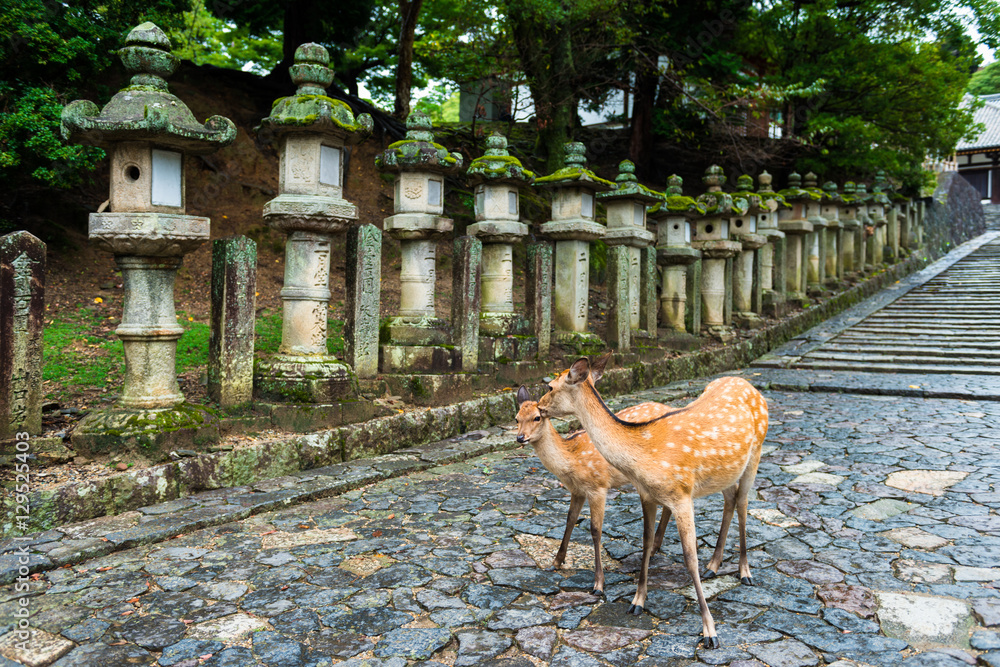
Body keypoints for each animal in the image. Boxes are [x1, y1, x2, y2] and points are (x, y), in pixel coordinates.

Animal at [515, 385, 672, 596]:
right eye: (516, 418)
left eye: (537, 417)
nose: (520, 437)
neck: (571, 460)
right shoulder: (577, 490)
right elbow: (570, 520)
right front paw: (555, 562)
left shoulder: (598, 486)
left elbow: (595, 530)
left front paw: (598, 584)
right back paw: (654, 548)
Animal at [536, 353, 768, 649]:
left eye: (551, 386)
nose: (539, 407)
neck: (644, 458)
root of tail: (749, 385)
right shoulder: (647, 494)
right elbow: (646, 543)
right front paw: (637, 602)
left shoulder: (681, 494)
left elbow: (690, 557)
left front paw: (710, 631)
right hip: (724, 474)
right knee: (730, 499)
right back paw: (714, 566)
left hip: (755, 453)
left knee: (743, 502)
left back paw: (745, 571)